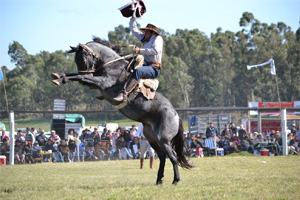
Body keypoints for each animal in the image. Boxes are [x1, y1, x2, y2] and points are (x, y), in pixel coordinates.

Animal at [51, 38, 192, 184]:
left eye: (83, 59)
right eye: (75, 60)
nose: (87, 72)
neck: (113, 65)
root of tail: (176, 116)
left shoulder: (101, 82)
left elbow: (80, 77)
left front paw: (60, 78)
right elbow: (75, 75)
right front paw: (59, 76)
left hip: (163, 139)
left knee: (173, 156)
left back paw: (175, 180)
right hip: (152, 138)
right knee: (163, 156)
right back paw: (159, 179)